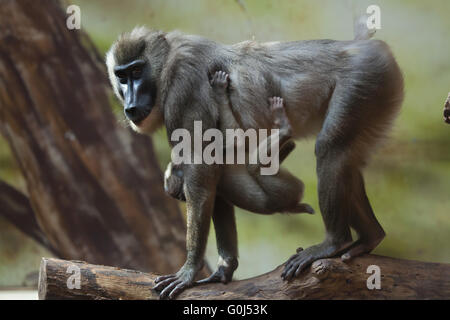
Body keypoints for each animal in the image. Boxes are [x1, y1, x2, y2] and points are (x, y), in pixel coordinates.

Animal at [163, 70, 314, 215]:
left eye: (173, 169)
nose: (174, 161)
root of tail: (284, 207)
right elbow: (236, 140)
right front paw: (220, 91)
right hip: (284, 189)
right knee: (254, 167)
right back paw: (284, 127)